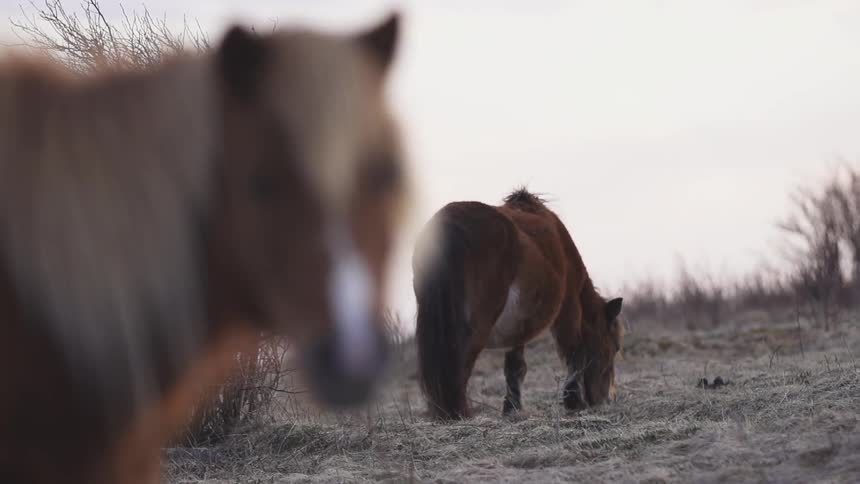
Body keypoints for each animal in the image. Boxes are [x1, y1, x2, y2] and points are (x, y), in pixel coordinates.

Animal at [412, 188, 624, 420]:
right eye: (614, 348)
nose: (607, 398)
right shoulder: (568, 308)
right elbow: (574, 353)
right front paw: (574, 402)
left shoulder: (518, 327)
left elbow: (515, 367)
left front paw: (512, 408)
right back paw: (459, 413)